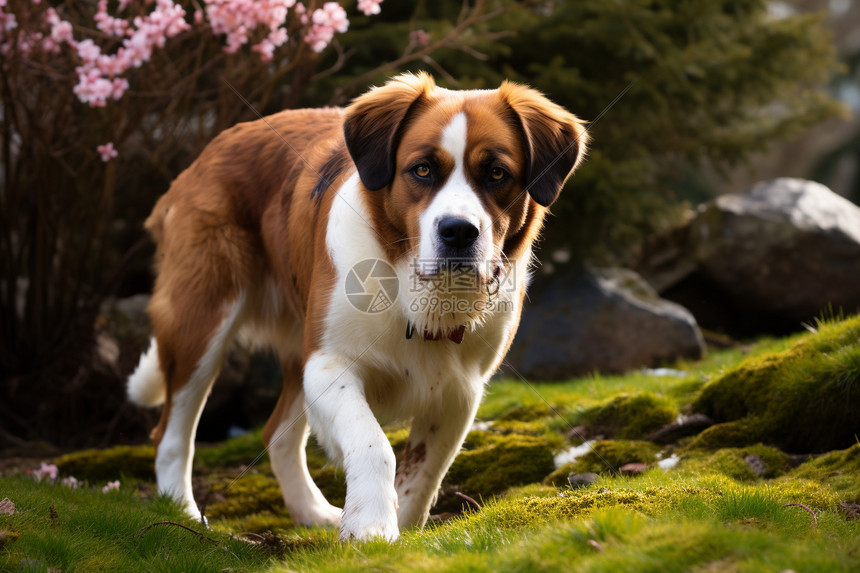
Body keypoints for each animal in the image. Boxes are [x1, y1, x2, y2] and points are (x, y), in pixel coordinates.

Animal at [126, 72, 584, 540]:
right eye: (422, 170)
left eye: (496, 173)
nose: (458, 231)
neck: (413, 291)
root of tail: (210, 149)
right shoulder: (329, 364)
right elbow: (373, 444)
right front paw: (371, 527)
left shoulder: (460, 390)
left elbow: (425, 470)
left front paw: (401, 530)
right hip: (202, 322)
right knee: (172, 433)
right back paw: (183, 513)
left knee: (277, 435)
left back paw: (311, 512)